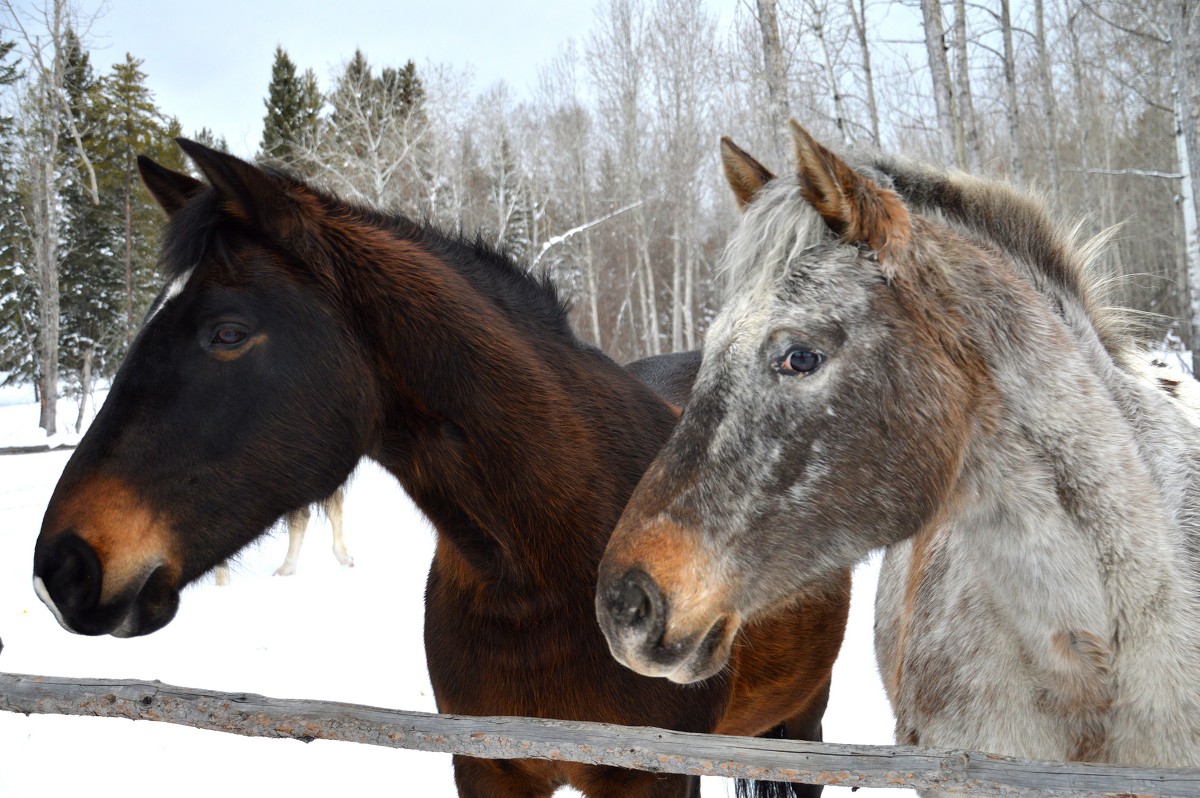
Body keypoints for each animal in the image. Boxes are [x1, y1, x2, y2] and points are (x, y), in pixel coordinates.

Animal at [32, 139, 849, 792]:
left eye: (228, 332)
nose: (62, 568)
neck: (548, 565)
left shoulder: (647, 778)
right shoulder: (486, 765)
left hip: (797, 726)